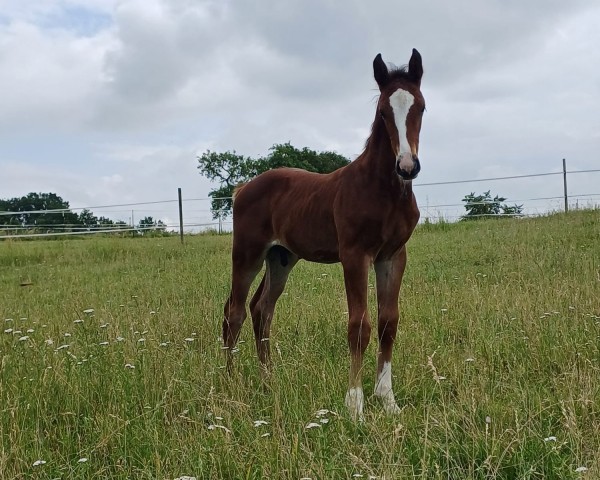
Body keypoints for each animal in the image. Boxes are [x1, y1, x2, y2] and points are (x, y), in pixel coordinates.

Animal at [223, 49, 424, 420]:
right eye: (383, 112)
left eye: (420, 107)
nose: (407, 166)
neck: (383, 190)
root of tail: (243, 188)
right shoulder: (355, 255)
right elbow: (359, 326)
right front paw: (355, 406)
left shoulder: (392, 256)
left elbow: (388, 323)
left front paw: (388, 401)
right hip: (248, 253)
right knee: (235, 312)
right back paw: (229, 383)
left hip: (281, 258)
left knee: (262, 310)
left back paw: (268, 381)